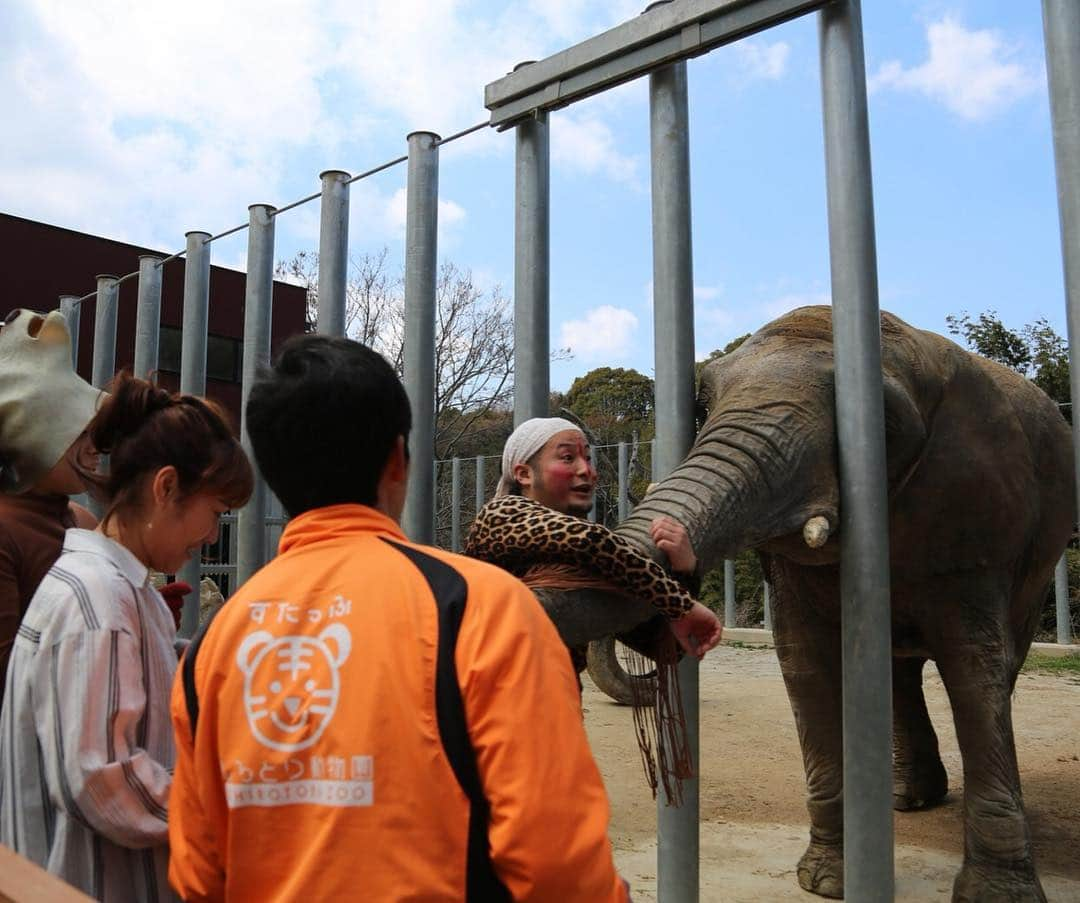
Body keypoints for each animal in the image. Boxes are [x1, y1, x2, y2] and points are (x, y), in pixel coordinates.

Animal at [529, 304, 1071, 903]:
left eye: (882, 425)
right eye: (702, 404)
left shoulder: (974, 514)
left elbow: (975, 675)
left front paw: (997, 896)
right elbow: (805, 665)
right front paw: (826, 880)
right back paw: (904, 798)